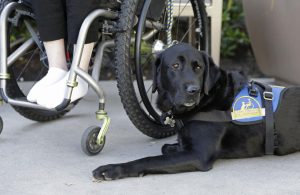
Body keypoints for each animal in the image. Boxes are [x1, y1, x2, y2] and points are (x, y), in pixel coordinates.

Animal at [92, 43, 300, 181]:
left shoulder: (198, 155)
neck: (209, 99)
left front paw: (112, 169)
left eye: (198, 67)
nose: (193, 90)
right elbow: (166, 147)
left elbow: (150, 160)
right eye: (175, 66)